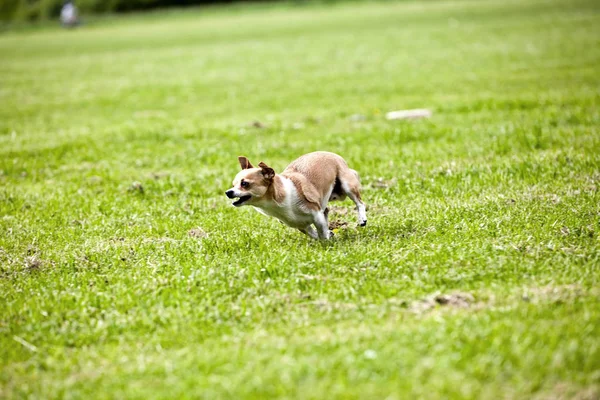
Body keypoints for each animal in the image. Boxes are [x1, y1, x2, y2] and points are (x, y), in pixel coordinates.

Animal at [225, 152, 366, 239]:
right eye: (233, 184)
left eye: (244, 184)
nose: (228, 192)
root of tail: (334, 155)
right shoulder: (300, 225)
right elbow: (313, 233)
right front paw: (327, 235)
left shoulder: (316, 215)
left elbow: (321, 232)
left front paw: (326, 242)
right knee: (326, 210)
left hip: (347, 185)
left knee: (360, 203)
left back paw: (362, 220)